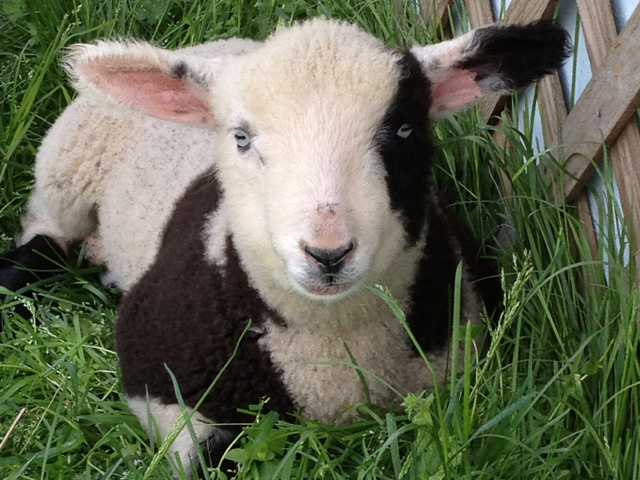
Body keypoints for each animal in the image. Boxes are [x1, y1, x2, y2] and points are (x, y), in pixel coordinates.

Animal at [0, 17, 568, 476]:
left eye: (405, 129)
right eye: (241, 138)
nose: (328, 253)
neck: (332, 346)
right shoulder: (160, 380)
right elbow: (211, 460)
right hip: (66, 171)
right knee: (42, 232)